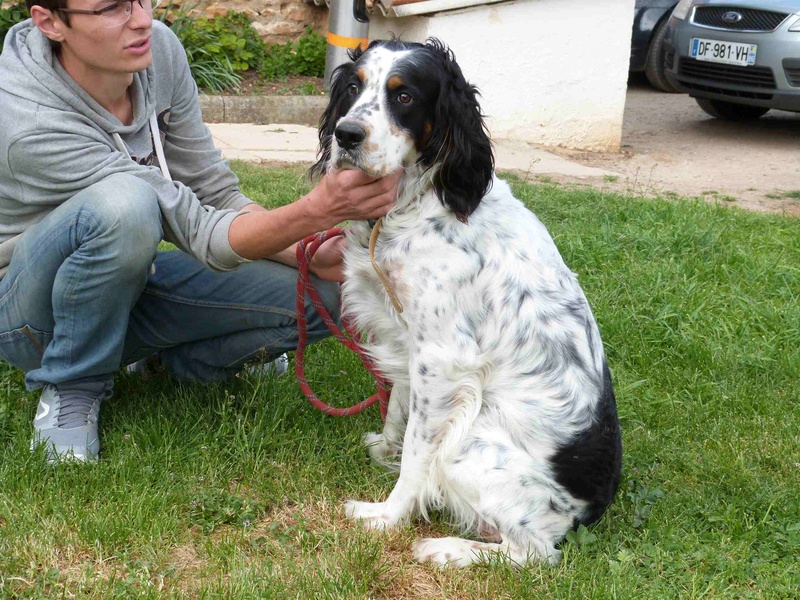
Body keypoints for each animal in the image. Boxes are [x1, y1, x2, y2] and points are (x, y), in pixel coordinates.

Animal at [310, 38, 620, 568]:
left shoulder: (442, 359)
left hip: (470, 447)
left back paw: (445, 548)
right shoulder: (406, 340)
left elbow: (417, 453)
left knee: (534, 553)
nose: (346, 134)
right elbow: (398, 411)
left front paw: (386, 515)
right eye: (352, 86)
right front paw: (384, 448)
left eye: (405, 96)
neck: (420, 201)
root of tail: (588, 512)